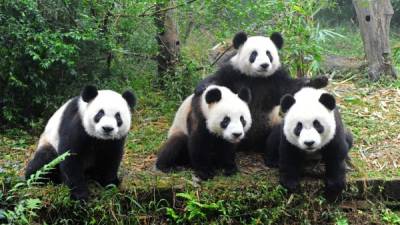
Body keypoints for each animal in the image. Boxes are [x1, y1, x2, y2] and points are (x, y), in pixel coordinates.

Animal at [195, 31, 330, 153]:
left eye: (268, 54)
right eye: (254, 54)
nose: (264, 65)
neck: (257, 78)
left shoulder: (275, 77)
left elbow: (290, 88)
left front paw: (319, 80)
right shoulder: (234, 72)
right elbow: (219, 81)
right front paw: (202, 88)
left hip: (273, 123)